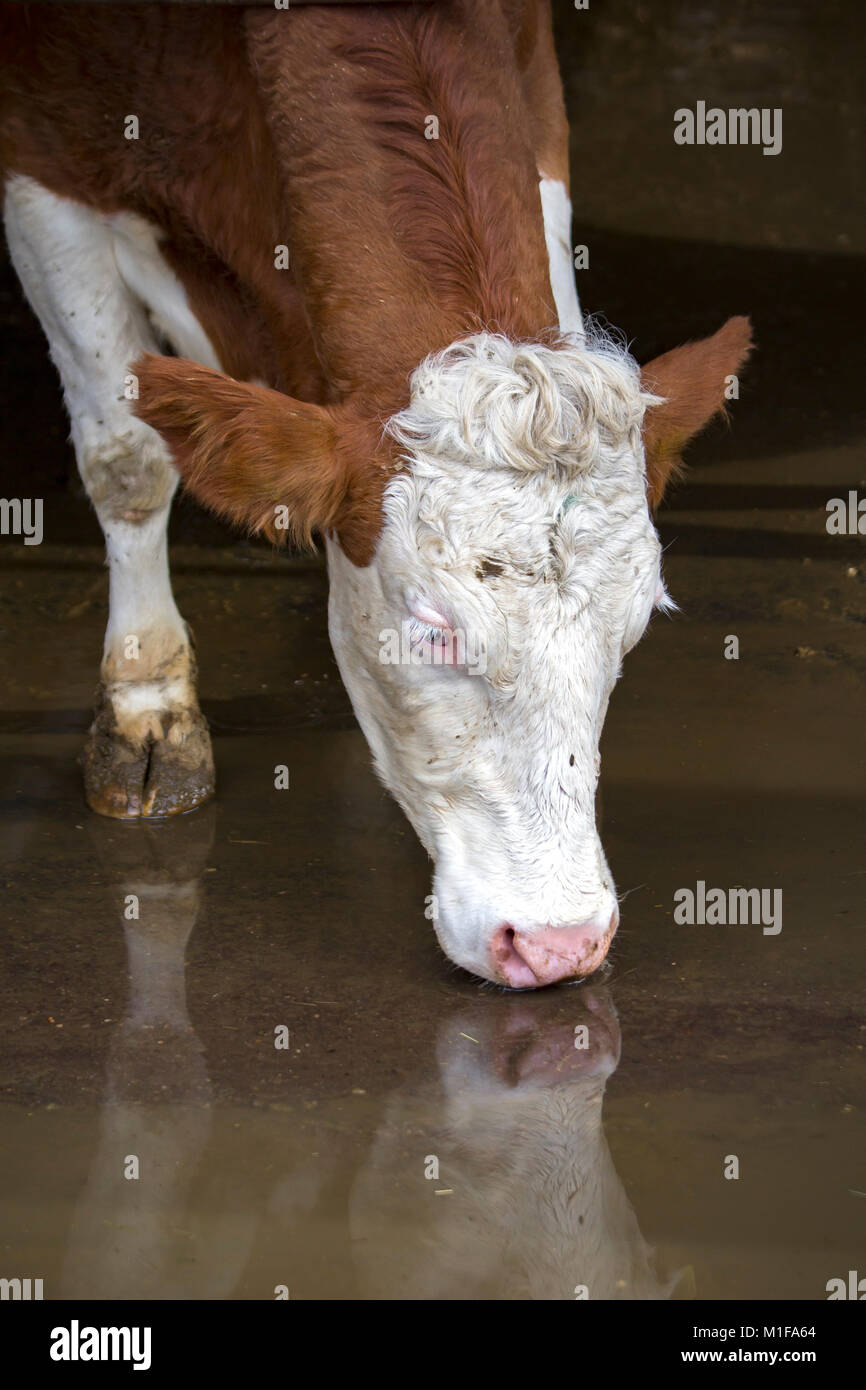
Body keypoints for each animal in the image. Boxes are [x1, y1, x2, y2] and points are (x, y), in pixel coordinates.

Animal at [0, 1, 752, 987]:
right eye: (432, 630)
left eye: (634, 627)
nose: (558, 944)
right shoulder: (44, 157)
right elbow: (127, 461)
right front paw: (146, 707)